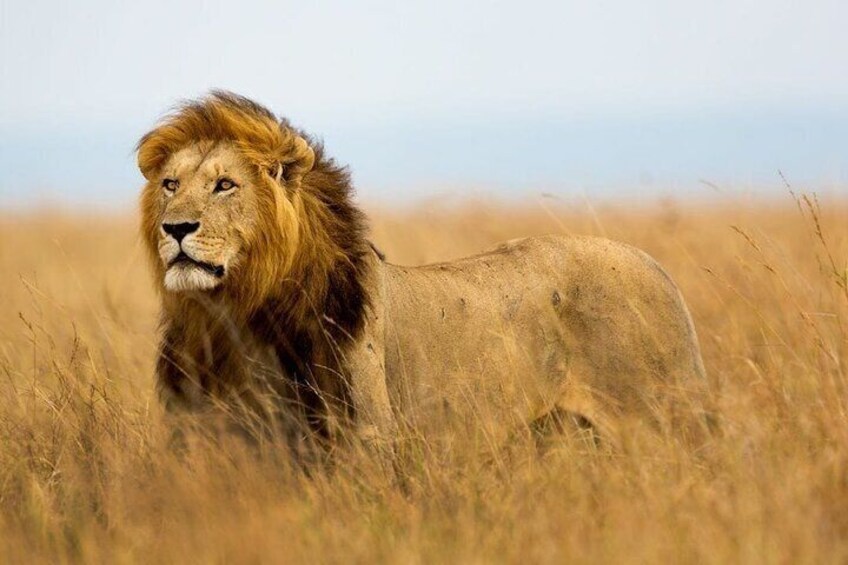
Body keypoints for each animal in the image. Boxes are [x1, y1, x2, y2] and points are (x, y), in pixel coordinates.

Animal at [137, 91, 709, 459]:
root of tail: (657, 267)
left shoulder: (364, 438)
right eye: (170, 184)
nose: (176, 228)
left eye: (225, 185)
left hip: (663, 421)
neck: (234, 314)